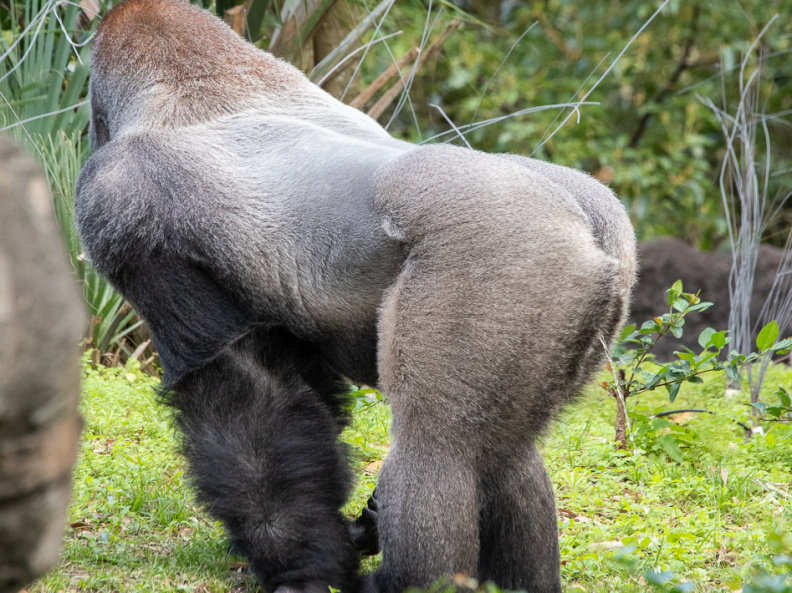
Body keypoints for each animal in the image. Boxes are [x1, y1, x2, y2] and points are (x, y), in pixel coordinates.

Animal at [74, 1, 637, 592]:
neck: (195, 78)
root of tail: (588, 223)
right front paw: (336, 540)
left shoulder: (118, 200)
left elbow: (239, 391)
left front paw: (304, 567)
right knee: (505, 456)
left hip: (506, 257)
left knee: (437, 451)